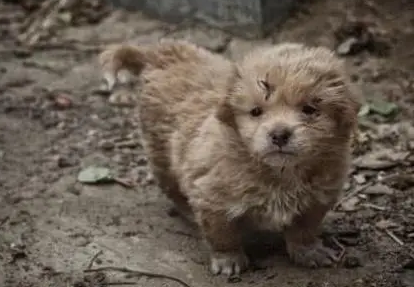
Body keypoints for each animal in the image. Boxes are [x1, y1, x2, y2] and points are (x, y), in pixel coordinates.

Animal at [98, 40, 360, 276]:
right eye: (256, 112)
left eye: (309, 109)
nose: (279, 134)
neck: (279, 174)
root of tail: (161, 54)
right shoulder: (211, 196)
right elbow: (222, 234)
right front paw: (228, 259)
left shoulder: (318, 197)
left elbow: (305, 227)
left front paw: (309, 251)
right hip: (161, 153)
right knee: (173, 187)